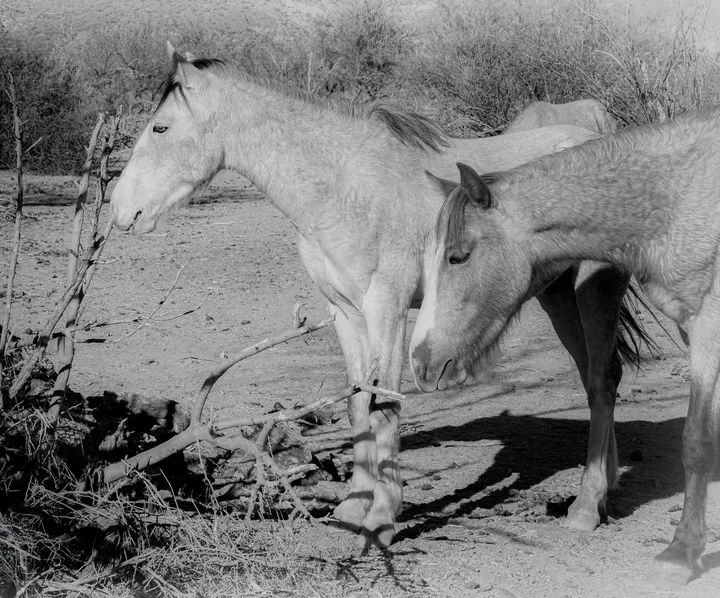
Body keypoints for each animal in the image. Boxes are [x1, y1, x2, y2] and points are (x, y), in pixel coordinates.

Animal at [110, 43, 646, 549]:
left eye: (160, 128)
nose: (121, 212)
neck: (342, 185)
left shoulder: (386, 307)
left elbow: (384, 406)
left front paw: (381, 520)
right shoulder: (344, 313)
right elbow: (357, 406)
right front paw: (353, 506)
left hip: (592, 292)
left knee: (602, 379)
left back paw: (586, 505)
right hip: (557, 297)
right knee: (596, 377)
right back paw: (604, 487)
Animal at [410, 106, 720, 585]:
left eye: (458, 256)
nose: (421, 361)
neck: (680, 196)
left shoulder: (709, 326)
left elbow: (697, 441)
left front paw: (682, 553)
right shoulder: (695, 330)